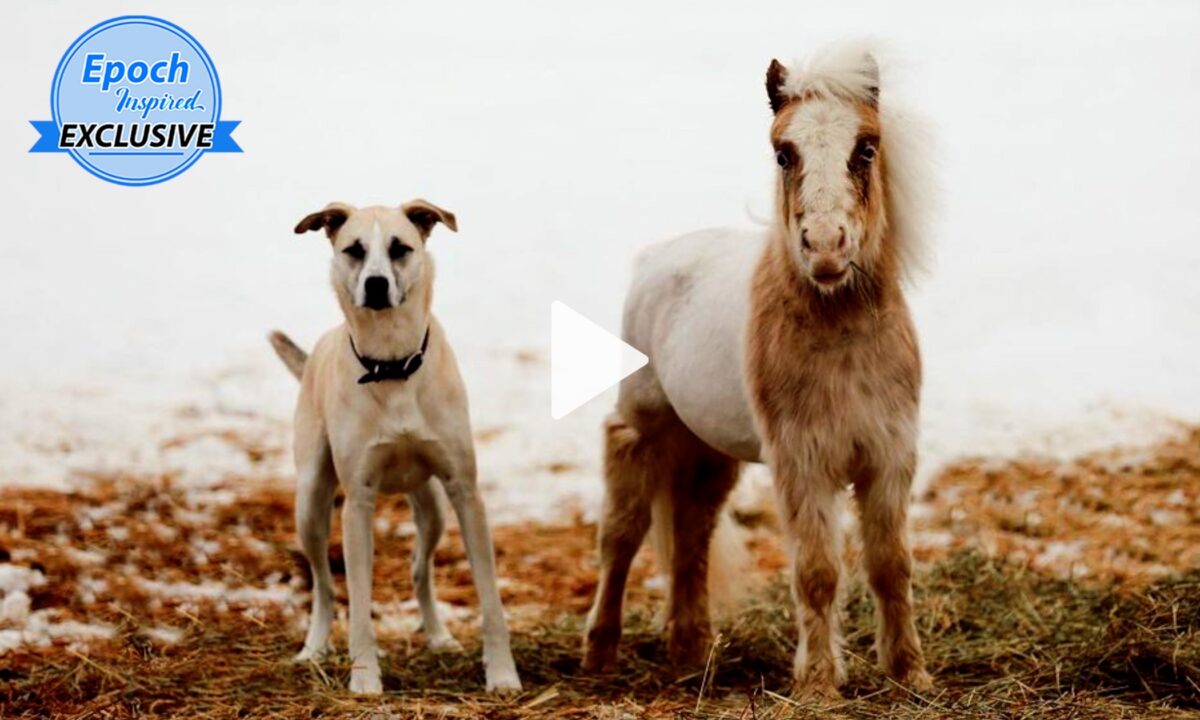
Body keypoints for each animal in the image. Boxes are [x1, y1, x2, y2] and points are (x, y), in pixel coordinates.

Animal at [581, 42, 935, 697]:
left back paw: (691, 652)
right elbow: (818, 572)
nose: (826, 247)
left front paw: (910, 675)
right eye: (783, 151)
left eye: (866, 147)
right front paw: (818, 684)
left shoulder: (889, 457)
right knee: (621, 533)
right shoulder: (804, 463)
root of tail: (657, 257)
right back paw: (600, 654)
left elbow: (891, 565)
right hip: (641, 429)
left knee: (691, 532)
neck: (841, 339)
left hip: (706, 453)